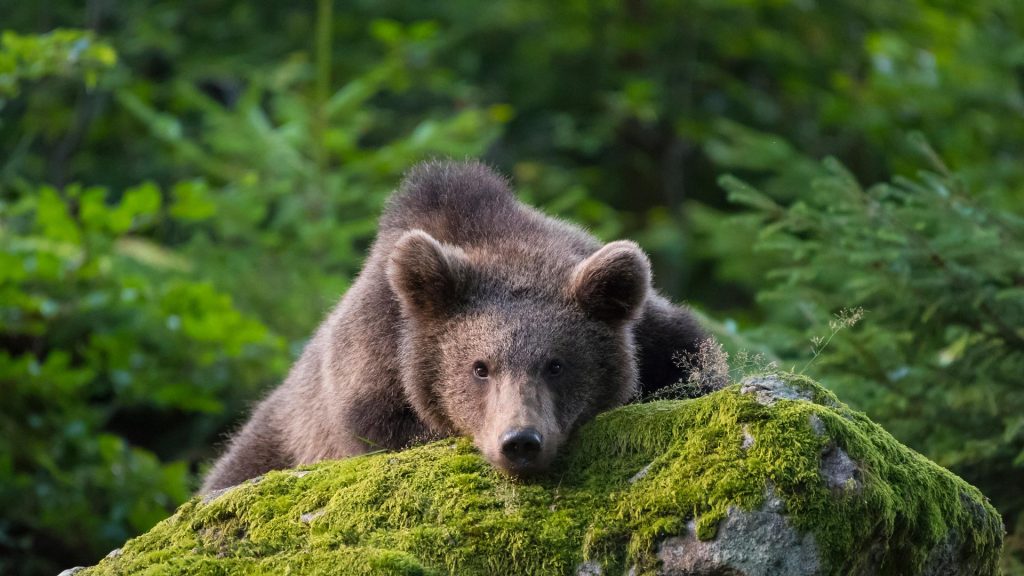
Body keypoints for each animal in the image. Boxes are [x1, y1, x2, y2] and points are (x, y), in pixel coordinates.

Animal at [201, 159, 708, 493]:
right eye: (479, 367)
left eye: (557, 364)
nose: (520, 442)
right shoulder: (372, 362)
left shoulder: (654, 335)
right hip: (273, 438)